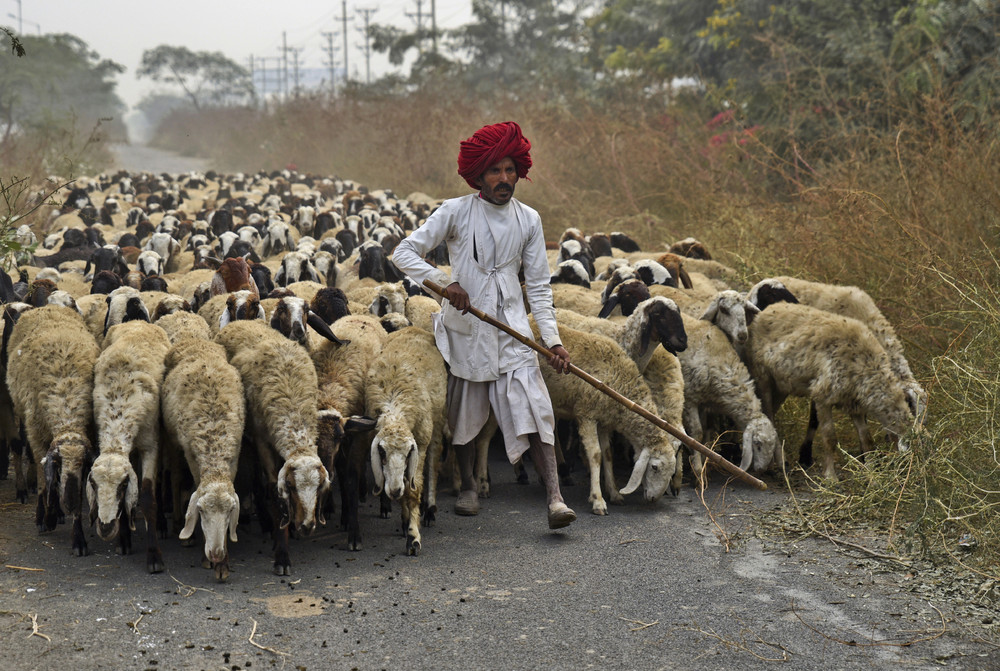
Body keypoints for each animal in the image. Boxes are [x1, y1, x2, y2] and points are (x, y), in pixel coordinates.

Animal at [5, 304, 99, 556]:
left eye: (83, 466)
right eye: (59, 462)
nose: (69, 501)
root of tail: (48, 306)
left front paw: (78, 537)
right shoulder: (38, 437)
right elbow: (42, 482)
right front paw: (44, 517)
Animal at [89, 320, 171, 572]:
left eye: (123, 485)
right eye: (93, 484)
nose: (105, 528)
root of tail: (138, 322)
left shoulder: (150, 446)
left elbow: (147, 497)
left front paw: (154, 556)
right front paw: (123, 539)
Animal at [215, 322, 332, 576]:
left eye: (318, 487)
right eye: (292, 486)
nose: (307, 526)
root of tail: (238, 322)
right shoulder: (263, 441)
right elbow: (272, 490)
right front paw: (282, 555)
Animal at [744, 302, 916, 480]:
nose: (907, 472)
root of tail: (765, 311)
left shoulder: (854, 404)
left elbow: (866, 439)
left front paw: (871, 472)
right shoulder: (823, 396)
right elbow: (829, 438)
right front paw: (830, 476)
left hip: (780, 384)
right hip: (762, 375)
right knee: (769, 414)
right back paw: (778, 462)